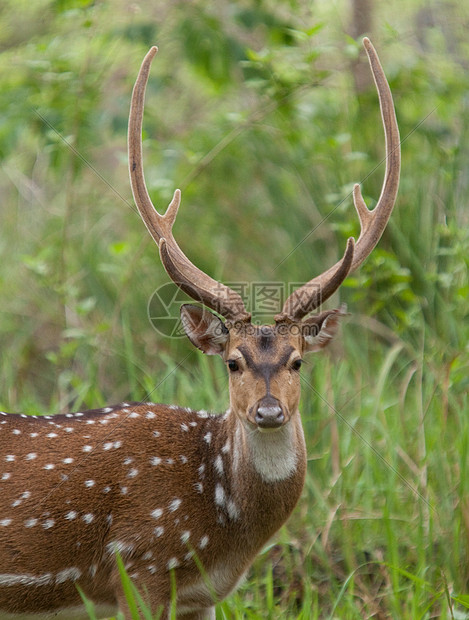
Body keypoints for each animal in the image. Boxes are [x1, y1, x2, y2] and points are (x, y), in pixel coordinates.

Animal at [0, 38, 398, 620]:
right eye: (232, 361)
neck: (222, 535)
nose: (269, 411)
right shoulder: (138, 567)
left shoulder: (201, 597)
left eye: (297, 360)